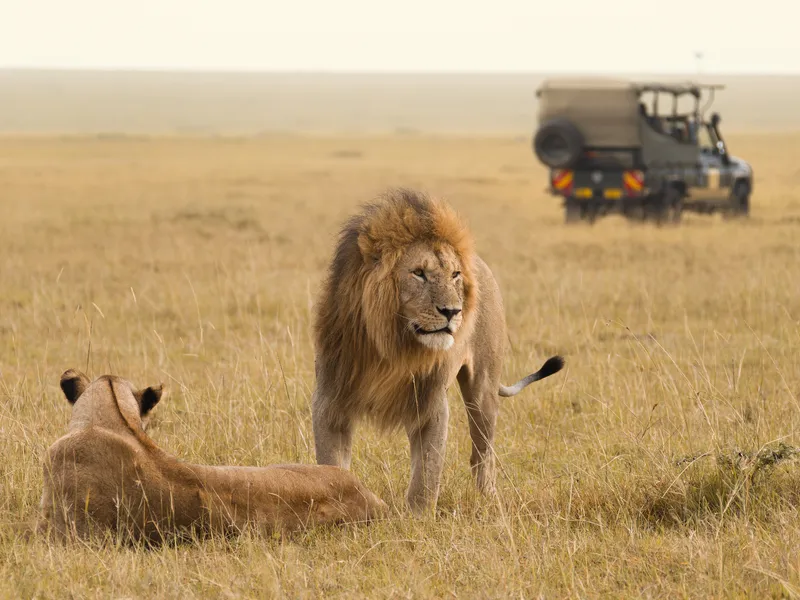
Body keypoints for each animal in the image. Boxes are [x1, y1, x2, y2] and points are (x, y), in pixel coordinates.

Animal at [311, 188, 565, 512]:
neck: (392, 347)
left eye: (454, 274)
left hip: (483, 390)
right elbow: (331, 466)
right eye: (419, 273)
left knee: (482, 453)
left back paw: (489, 499)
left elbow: (427, 474)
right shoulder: (330, 400)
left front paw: (417, 519)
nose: (452, 311)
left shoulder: (431, 403)